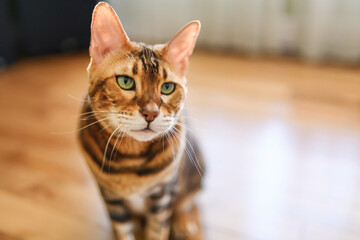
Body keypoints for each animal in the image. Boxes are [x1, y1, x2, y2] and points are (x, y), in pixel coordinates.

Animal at [78, 2, 205, 240]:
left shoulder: (163, 195)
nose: (151, 113)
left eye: (167, 87)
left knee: (187, 201)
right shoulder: (110, 197)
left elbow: (158, 229)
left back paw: (185, 222)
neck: (131, 156)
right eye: (125, 82)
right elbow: (122, 229)